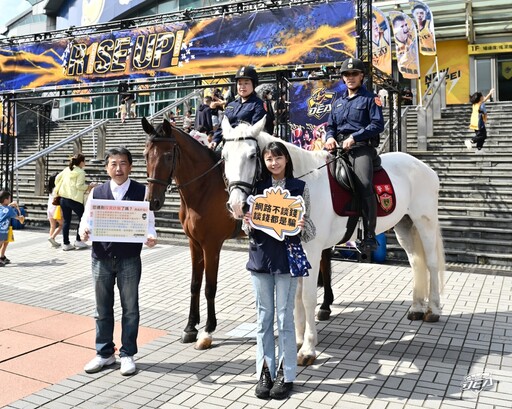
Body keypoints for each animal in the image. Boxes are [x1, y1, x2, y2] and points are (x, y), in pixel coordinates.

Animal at [142, 117, 334, 348]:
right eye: (145, 154)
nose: (152, 201)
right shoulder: (194, 243)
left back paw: (325, 306)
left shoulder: (211, 245)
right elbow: (195, 285)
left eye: (168, 156)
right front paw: (190, 328)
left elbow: (209, 287)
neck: (202, 190)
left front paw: (207, 330)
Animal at [220, 115, 444, 366]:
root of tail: (424, 167)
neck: (301, 183)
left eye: (252, 155)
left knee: (431, 263)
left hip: (424, 222)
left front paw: (308, 349)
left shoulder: (312, 250)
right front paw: (297, 340)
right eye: (224, 156)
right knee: (416, 263)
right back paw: (416, 307)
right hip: (404, 225)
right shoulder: (296, 249)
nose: (237, 205)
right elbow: (295, 297)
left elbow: (307, 298)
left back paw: (433, 310)